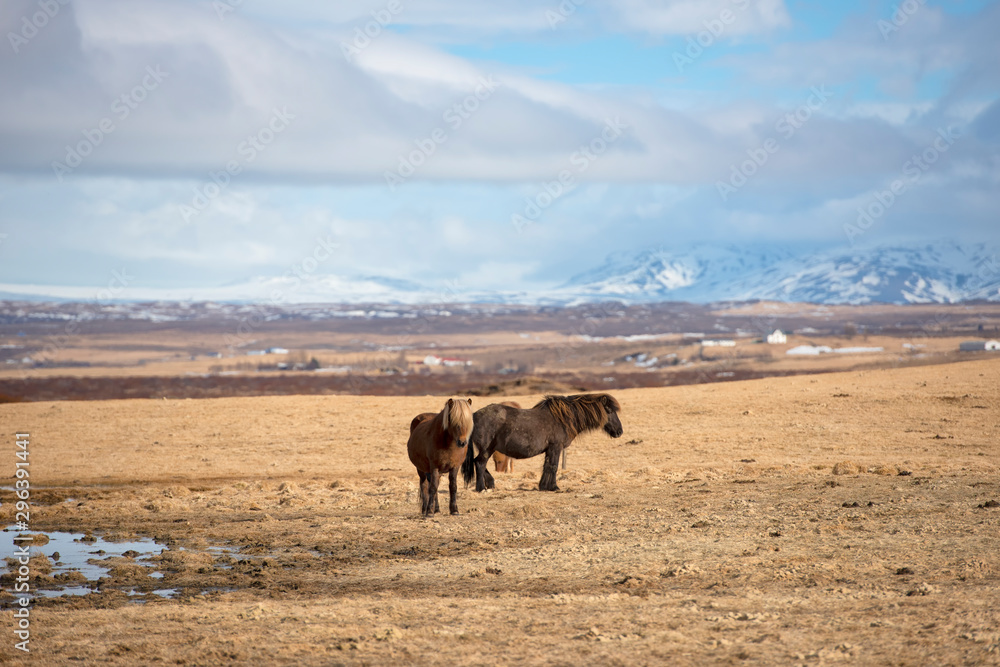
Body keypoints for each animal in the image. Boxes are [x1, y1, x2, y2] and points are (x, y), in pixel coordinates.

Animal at [462, 394, 620, 494]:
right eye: (609, 410)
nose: (619, 431)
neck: (563, 418)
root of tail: (474, 416)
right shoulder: (556, 447)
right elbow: (553, 466)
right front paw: (554, 487)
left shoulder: (550, 449)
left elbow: (547, 466)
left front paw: (543, 486)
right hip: (487, 448)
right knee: (480, 463)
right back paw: (481, 488)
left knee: (478, 462)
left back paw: (490, 483)